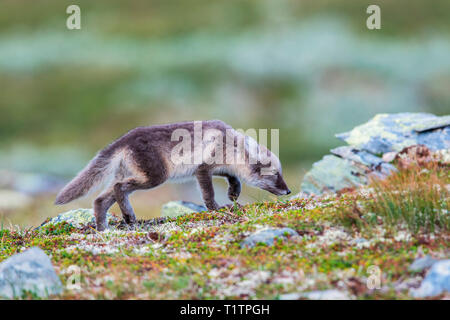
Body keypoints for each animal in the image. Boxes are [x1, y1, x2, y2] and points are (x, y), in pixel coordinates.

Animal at [54, 120, 290, 230]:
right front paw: (216, 208)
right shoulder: (202, 169)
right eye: (275, 174)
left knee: (100, 199)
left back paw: (104, 228)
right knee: (120, 188)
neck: (234, 145)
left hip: (130, 175)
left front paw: (233, 193)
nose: (288, 191)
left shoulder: (221, 167)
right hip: (155, 177)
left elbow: (233, 177)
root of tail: (122, 140)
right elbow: (208, 193)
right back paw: (129, 216)